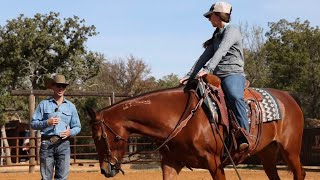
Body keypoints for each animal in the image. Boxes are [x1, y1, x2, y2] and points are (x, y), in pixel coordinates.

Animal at [87, 81, 304, 179]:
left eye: (99, 137)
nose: (105, 170)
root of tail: (290, 99)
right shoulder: (171, 163)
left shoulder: (215, 163)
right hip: (268, 153)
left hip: (290, 150)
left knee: (299, 173)